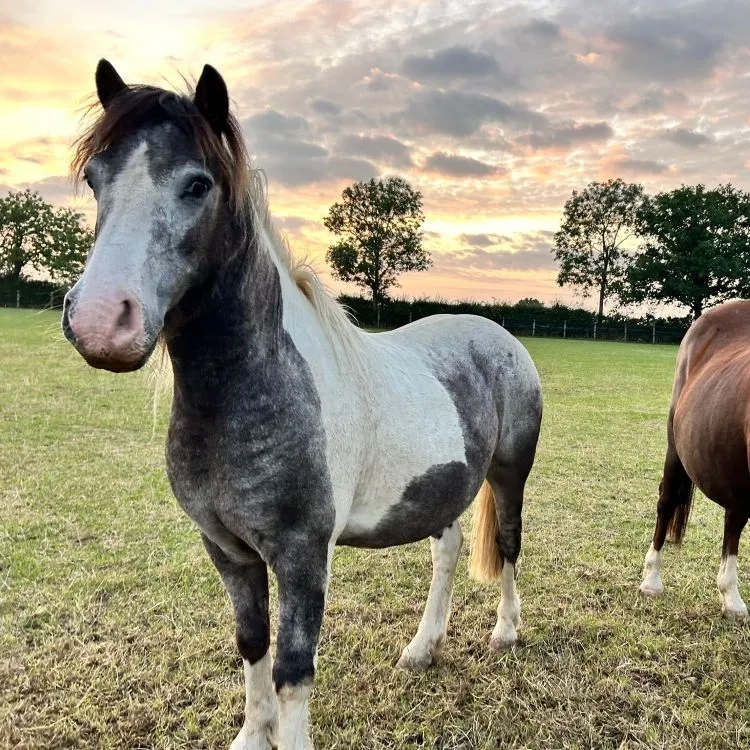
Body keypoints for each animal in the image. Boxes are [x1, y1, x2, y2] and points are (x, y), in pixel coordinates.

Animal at [62, 59, 543, 750]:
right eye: (95, 178)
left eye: (197, 184)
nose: (102, 321)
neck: (248, 398)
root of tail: (496, 334)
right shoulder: (228, 549)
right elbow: (252, 645)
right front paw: (250, 735)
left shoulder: (302, 553)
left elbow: (293, 669)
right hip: (440, 488)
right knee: (447, 550)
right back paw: (422, 648)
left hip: (508, 473)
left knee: (507, 543)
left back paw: (505, 633)